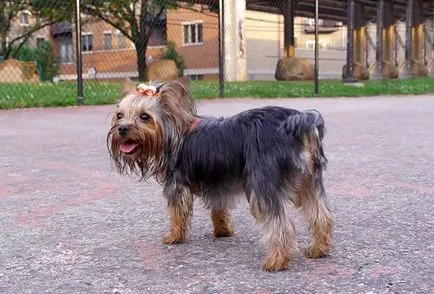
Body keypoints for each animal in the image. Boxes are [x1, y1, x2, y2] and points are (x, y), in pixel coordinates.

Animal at [107, 77, 334, 272]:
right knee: (321, 214)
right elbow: (219, 210)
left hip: (263, 181)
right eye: (119, 115)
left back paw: (277, 261)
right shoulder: (218, 183)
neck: (173, 134)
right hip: (309, 180)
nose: (122, 129)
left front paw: (174, 236)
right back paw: (318, 249)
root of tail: (300, 120)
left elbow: (177, 213)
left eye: (145, 117)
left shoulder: (177, 184)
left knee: (280, 224)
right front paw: (223, 231)